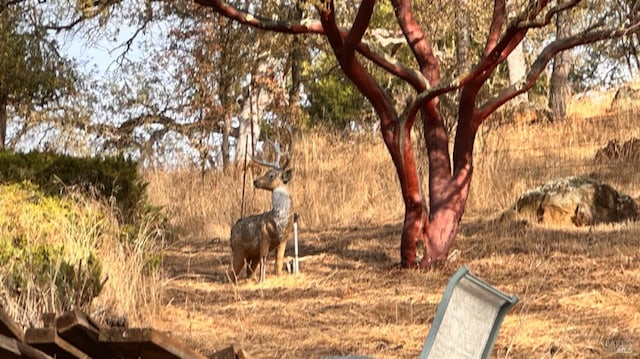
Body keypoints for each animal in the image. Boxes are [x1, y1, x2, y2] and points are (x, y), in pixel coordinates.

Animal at [230, 126, 296, 284]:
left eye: (271, 175)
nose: (255, 181)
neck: (279, 221)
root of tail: (231, 232)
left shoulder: (283, 240)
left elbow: (279, 261)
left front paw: (277, 277)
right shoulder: (264, 237)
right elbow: (264, 258)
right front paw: (262, 280)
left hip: (249, 255)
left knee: (247, 271)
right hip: (238, 249)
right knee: (232, 272)